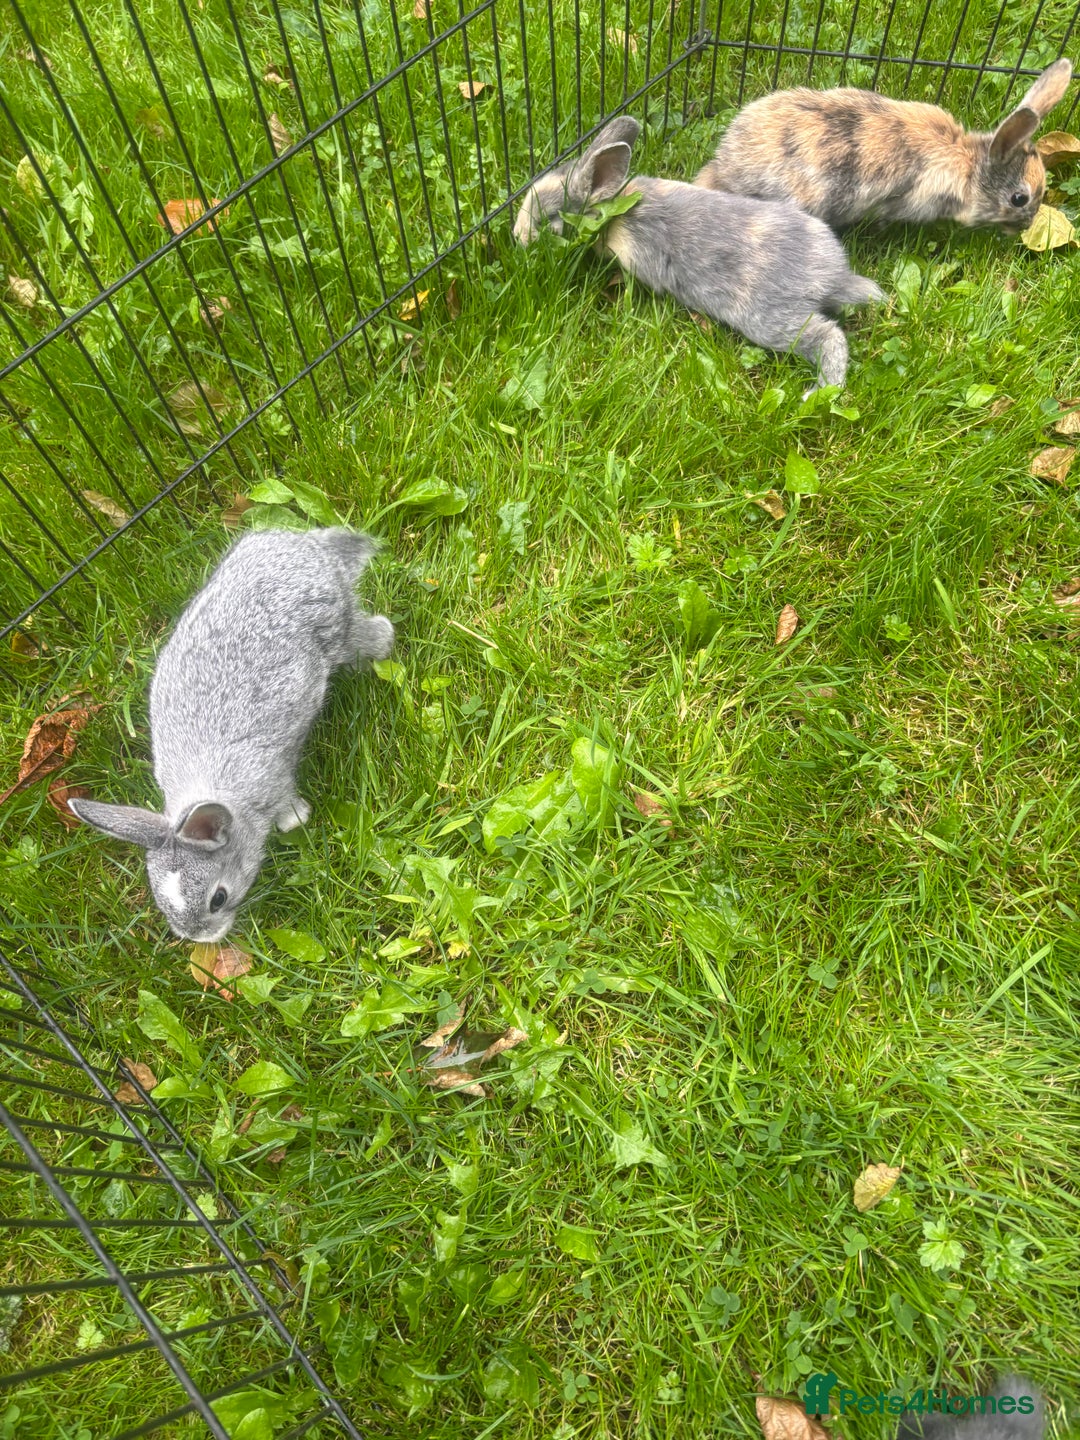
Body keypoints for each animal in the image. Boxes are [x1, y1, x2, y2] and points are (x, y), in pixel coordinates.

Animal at [69, 527, 394, 944]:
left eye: (218, 899)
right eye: (161, 903)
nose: (201, 939)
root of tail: (309, 550)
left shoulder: (273, 778)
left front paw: (295, 820)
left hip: (336, 625)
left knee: (362, 635)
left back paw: (383, 642)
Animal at [513, 116, 881, 394]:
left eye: (549, 219)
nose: (517, 237)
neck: (611, 214)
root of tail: (834, 278)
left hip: (772, 321)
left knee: (829, 337)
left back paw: (820, 391)